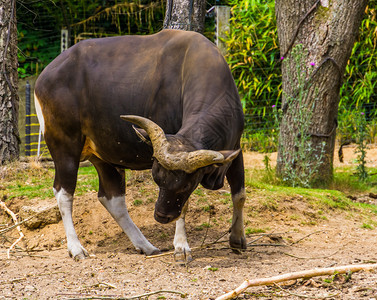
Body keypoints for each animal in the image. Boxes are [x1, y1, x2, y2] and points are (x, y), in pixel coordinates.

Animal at [34, 29, 247, 262]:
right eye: (158, 180)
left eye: (185, 185)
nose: (161, 216)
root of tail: (43, 78)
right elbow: (185, 206)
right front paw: (181, 246)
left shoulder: (235, 149)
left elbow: (239, 195)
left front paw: (237, 240)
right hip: (64, 148)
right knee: (63, 193)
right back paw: (76, 248)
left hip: (104, 155)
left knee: (112, 199)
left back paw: (146, 246)